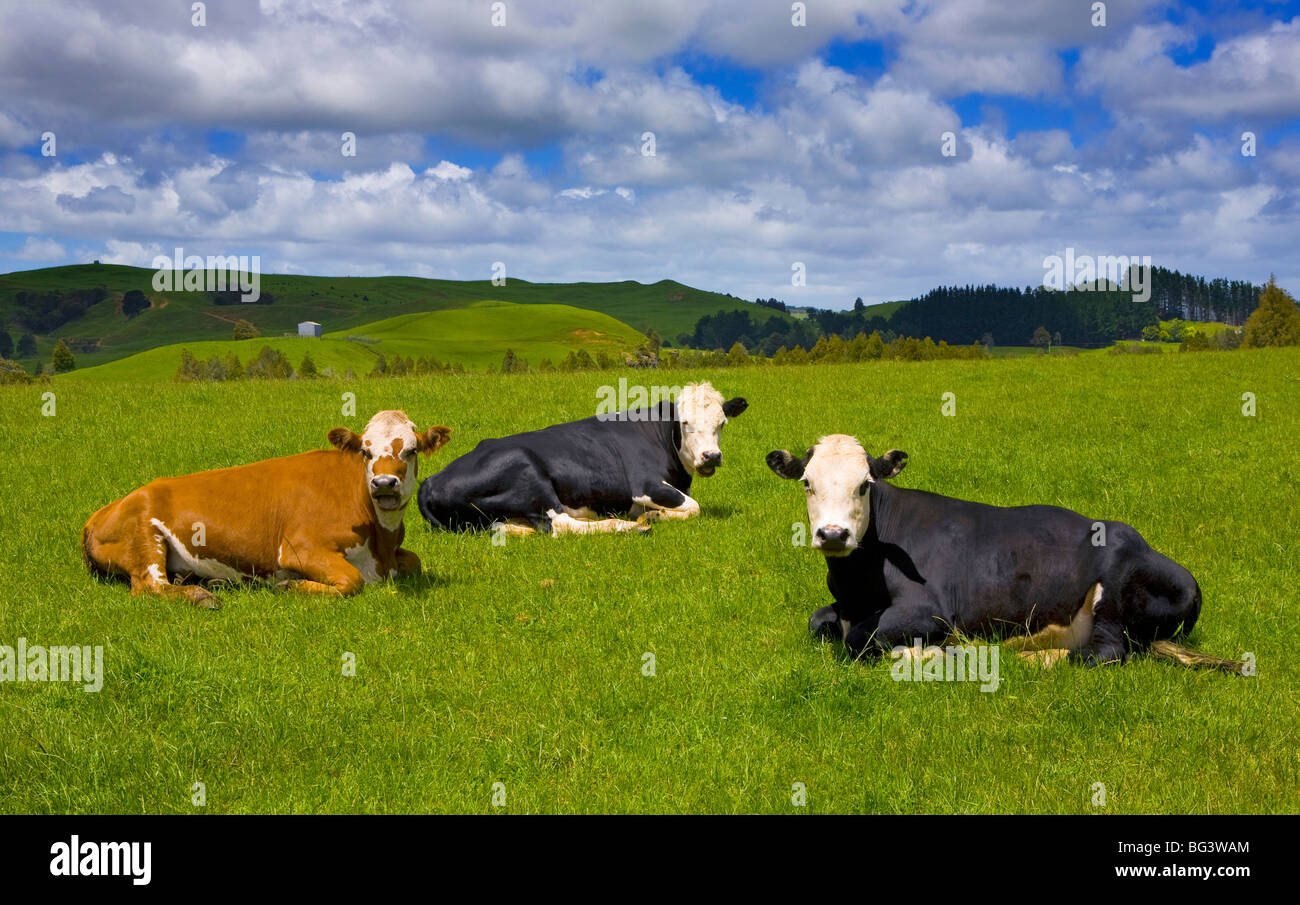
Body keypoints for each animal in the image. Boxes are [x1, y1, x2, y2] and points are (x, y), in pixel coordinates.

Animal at [83, 411, 451, 607]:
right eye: (365, 450)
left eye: (412, 450)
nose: (384, 484)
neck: (380, 547)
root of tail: (103, 510)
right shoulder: (299, 548)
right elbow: (352, 580)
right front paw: (289, 586)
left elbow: (414, 562)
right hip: (144, 538)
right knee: (150, 586)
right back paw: (202, 595)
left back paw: (214, 582)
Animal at [418, 382, 748, 536]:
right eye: (685, 422)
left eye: (722, 423)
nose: (711, 456)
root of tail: (429, 481)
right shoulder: (644, 485)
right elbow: (694, 507)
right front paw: (652, 516)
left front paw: (652, 515)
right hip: (528, 474)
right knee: (563, 525)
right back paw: (628, 526)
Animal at [766, 434, 1242, 672]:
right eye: (807, 482)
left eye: (865, 484)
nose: (833, 533)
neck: (858, 588)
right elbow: (820, 621)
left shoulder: (929, 612)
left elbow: (860, 640)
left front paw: (932, 653)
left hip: (1114, 591)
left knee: (1102, 653)